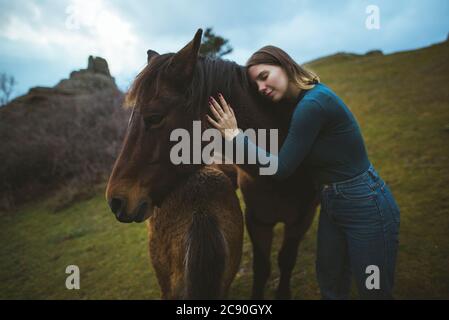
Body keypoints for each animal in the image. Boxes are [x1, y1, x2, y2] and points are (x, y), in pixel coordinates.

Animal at [105, 28, 316, 298]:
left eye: (154, 117)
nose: (116, 200)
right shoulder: (258, 221)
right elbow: (263, 267)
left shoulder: (302, 219)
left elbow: (285, 260)